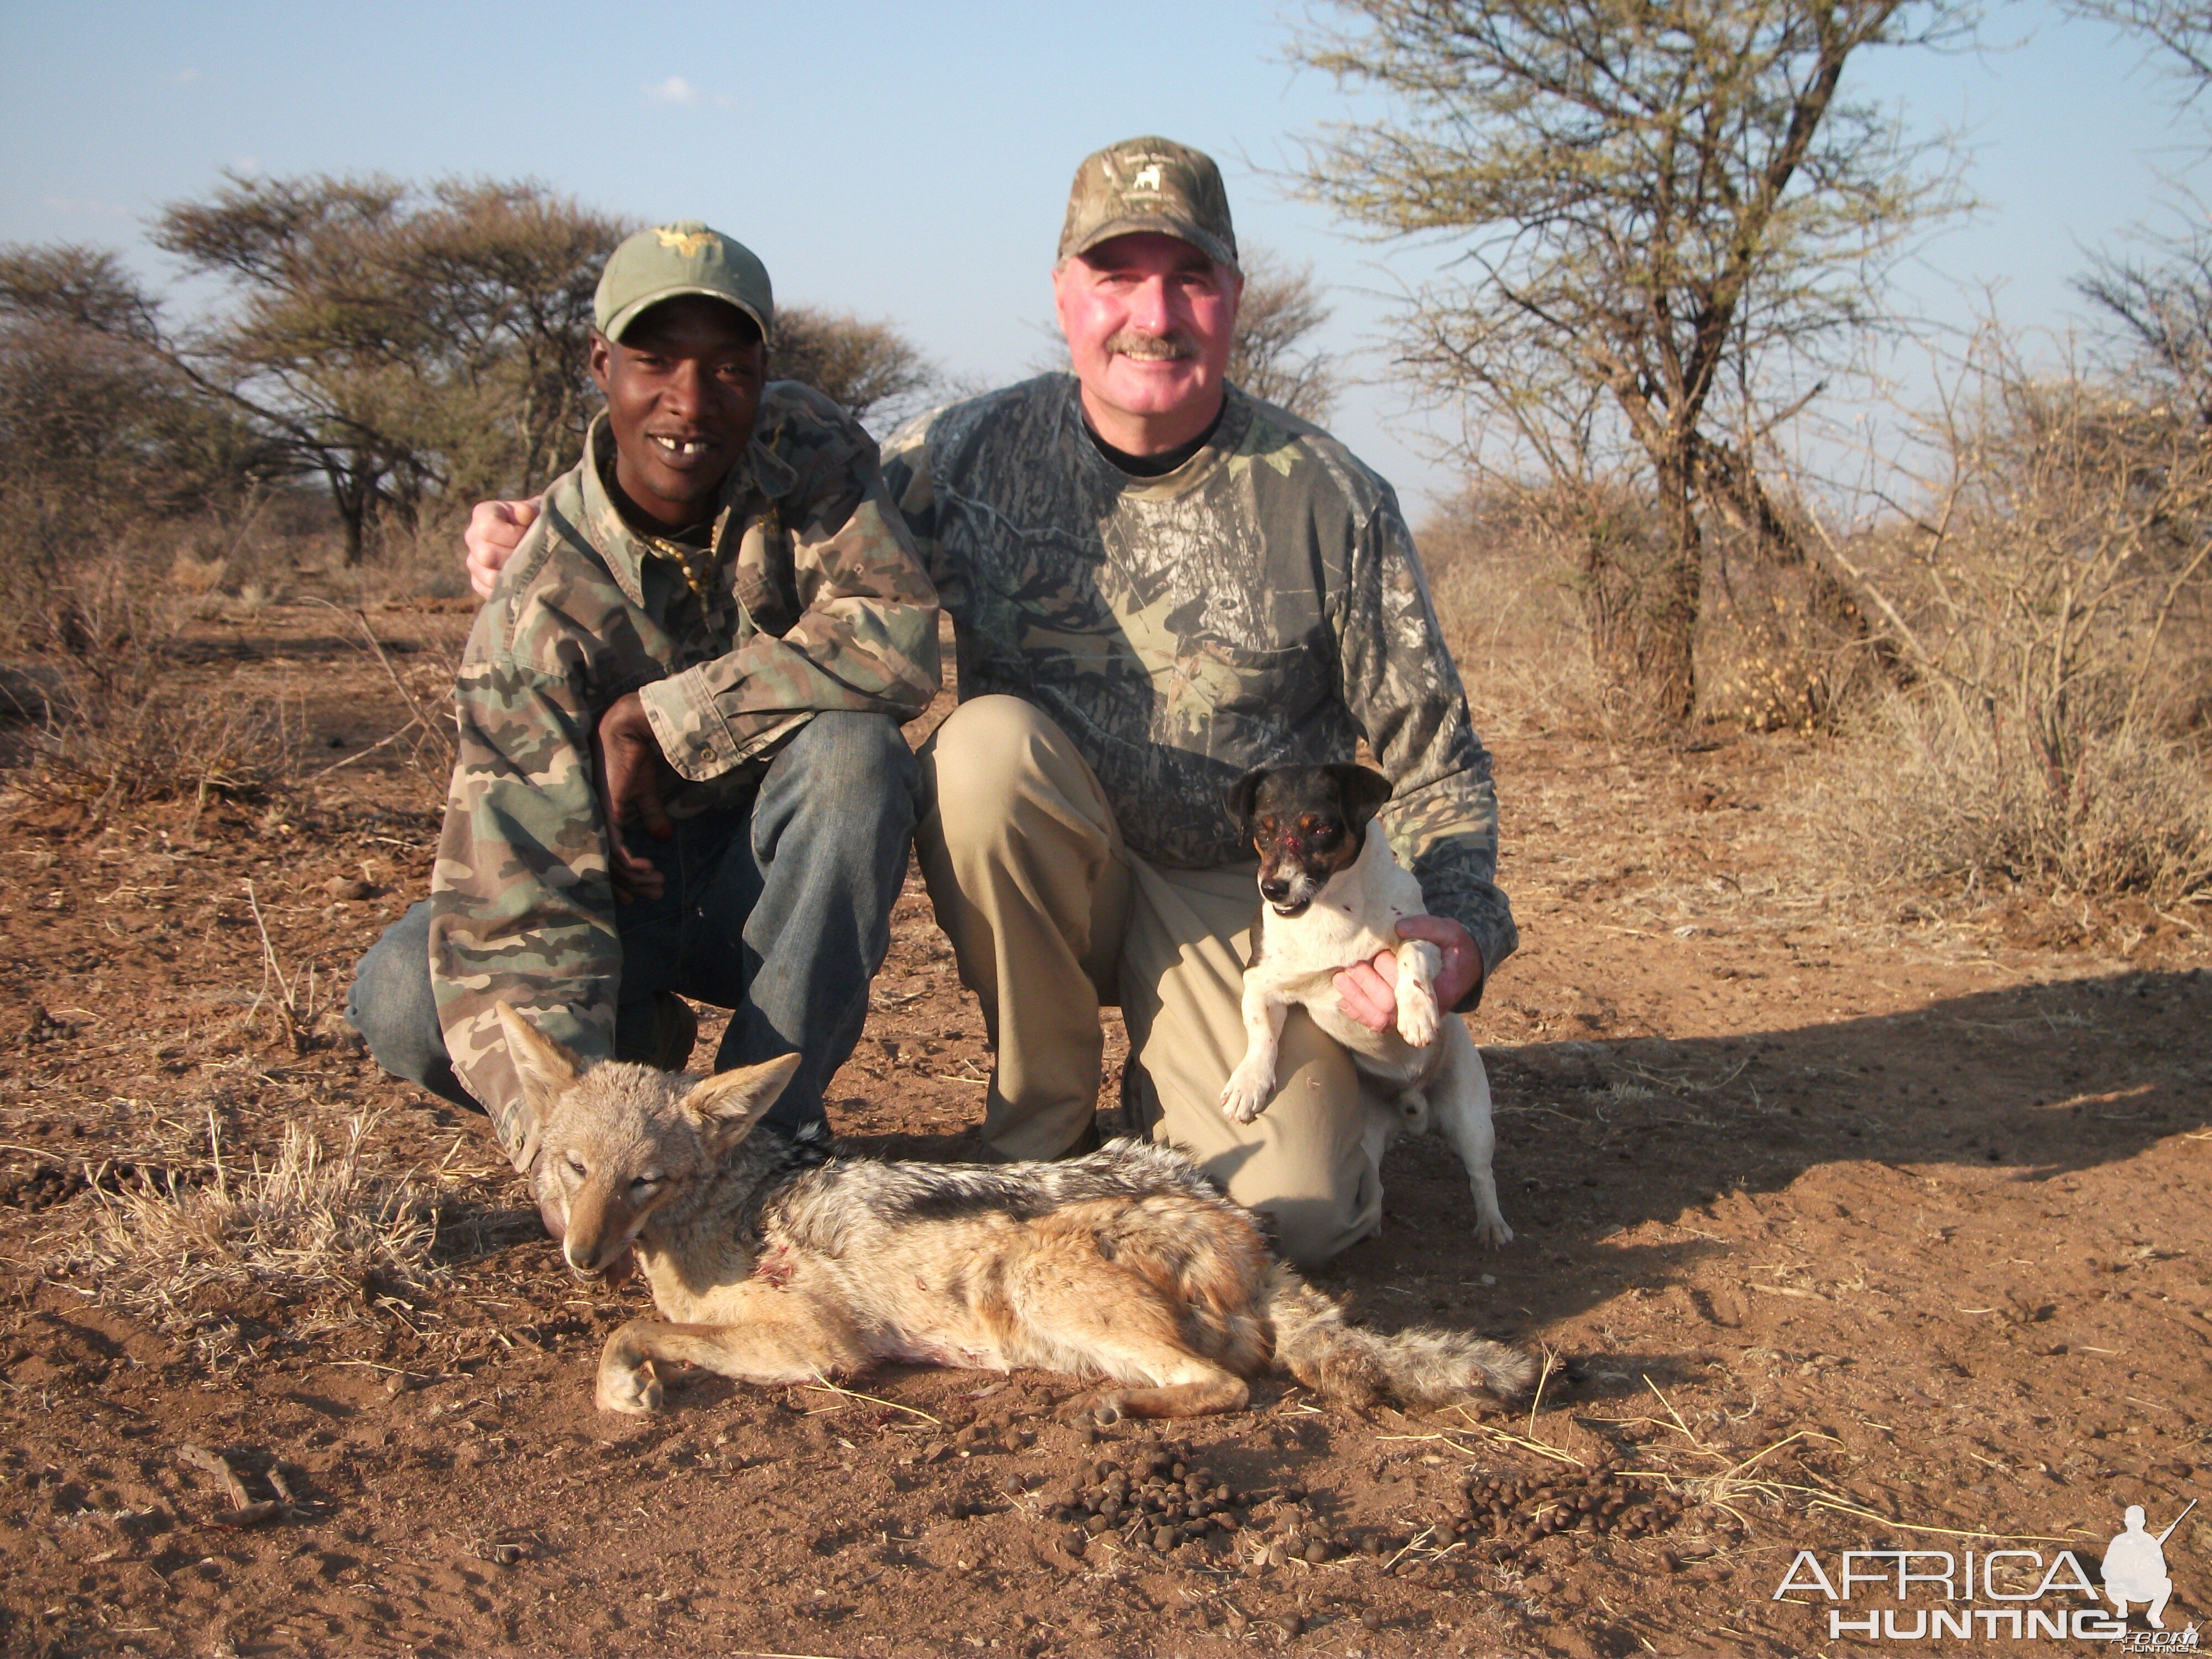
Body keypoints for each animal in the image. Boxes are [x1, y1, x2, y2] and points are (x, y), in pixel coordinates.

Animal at [1221, 765, 1513, 1248]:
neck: (1329, 911)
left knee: (1482, 1176)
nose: (1274, 887)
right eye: (1263, 830)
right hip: (1366, 1141)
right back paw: (1372, 1224)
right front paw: (1249, 1083)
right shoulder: (1261, 981)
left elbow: (1411, 960)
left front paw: (1417, 1014)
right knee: (1373, 1182)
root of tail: (1411, 1102)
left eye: (1321, 828)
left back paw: (1492, 1224)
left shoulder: (1425, 939)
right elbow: (1261, 1035)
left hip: (1472, 1119)